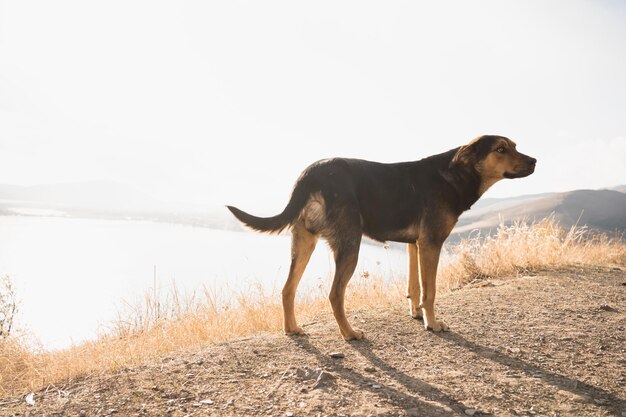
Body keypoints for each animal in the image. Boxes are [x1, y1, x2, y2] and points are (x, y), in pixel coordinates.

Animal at [227, 135, 532, 340]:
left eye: (515, 145)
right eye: (501, 148)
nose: (535, 161)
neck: (456, 174)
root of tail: (310, 174)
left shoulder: (415, 245)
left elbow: (415, 287)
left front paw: (416, 313)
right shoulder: (431, 243)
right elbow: (430, 291)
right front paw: (433, 324)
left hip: (304, 242)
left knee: (288, 289)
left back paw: (292, 328)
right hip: (349, 244)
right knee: (335, 294)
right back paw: (349, 333)